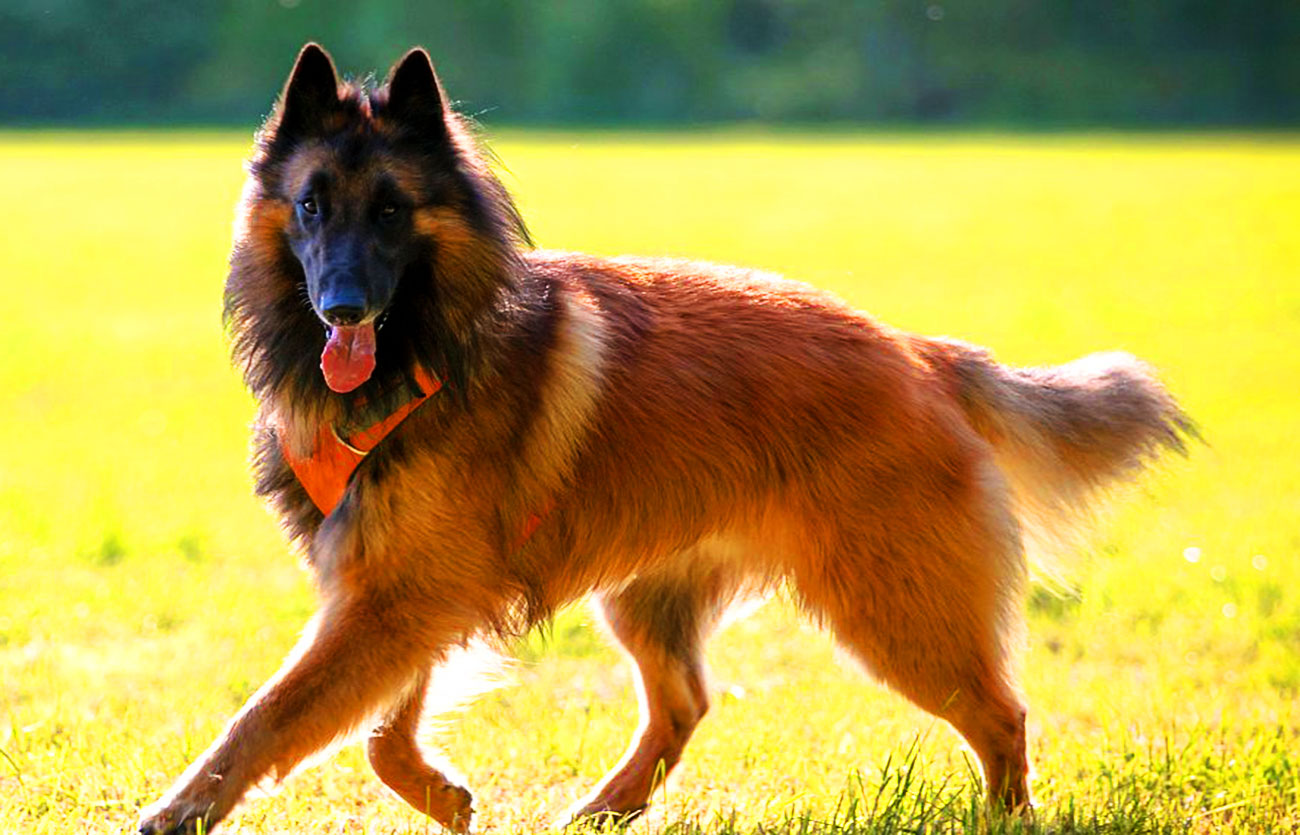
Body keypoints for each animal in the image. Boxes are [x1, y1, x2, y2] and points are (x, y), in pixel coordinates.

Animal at [137, 43, 1190, 832]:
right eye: (311, 206)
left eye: (392, 209)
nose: (343, 306)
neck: (427, 346)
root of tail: (921, 354)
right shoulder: (397, 590)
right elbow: (378, 727)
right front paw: (442, 795)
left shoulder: (398, 597)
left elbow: (271, 717)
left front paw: (181, 809)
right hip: (653, 597)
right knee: (684, 702)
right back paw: (606, 807)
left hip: (896, 611)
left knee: (1001, 713)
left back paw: (1005, 815)